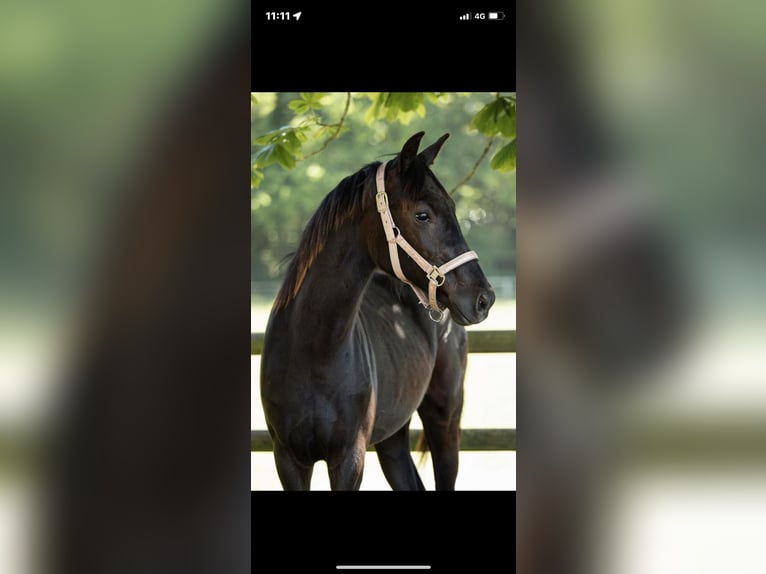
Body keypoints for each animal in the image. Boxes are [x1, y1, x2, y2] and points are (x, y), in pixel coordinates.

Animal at [260, 131, 495, 490]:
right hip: (393, 435)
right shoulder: (288, 459)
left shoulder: (349, 459)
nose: (483, 298)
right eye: (423, 214)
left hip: (444, 416)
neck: (313, 346)